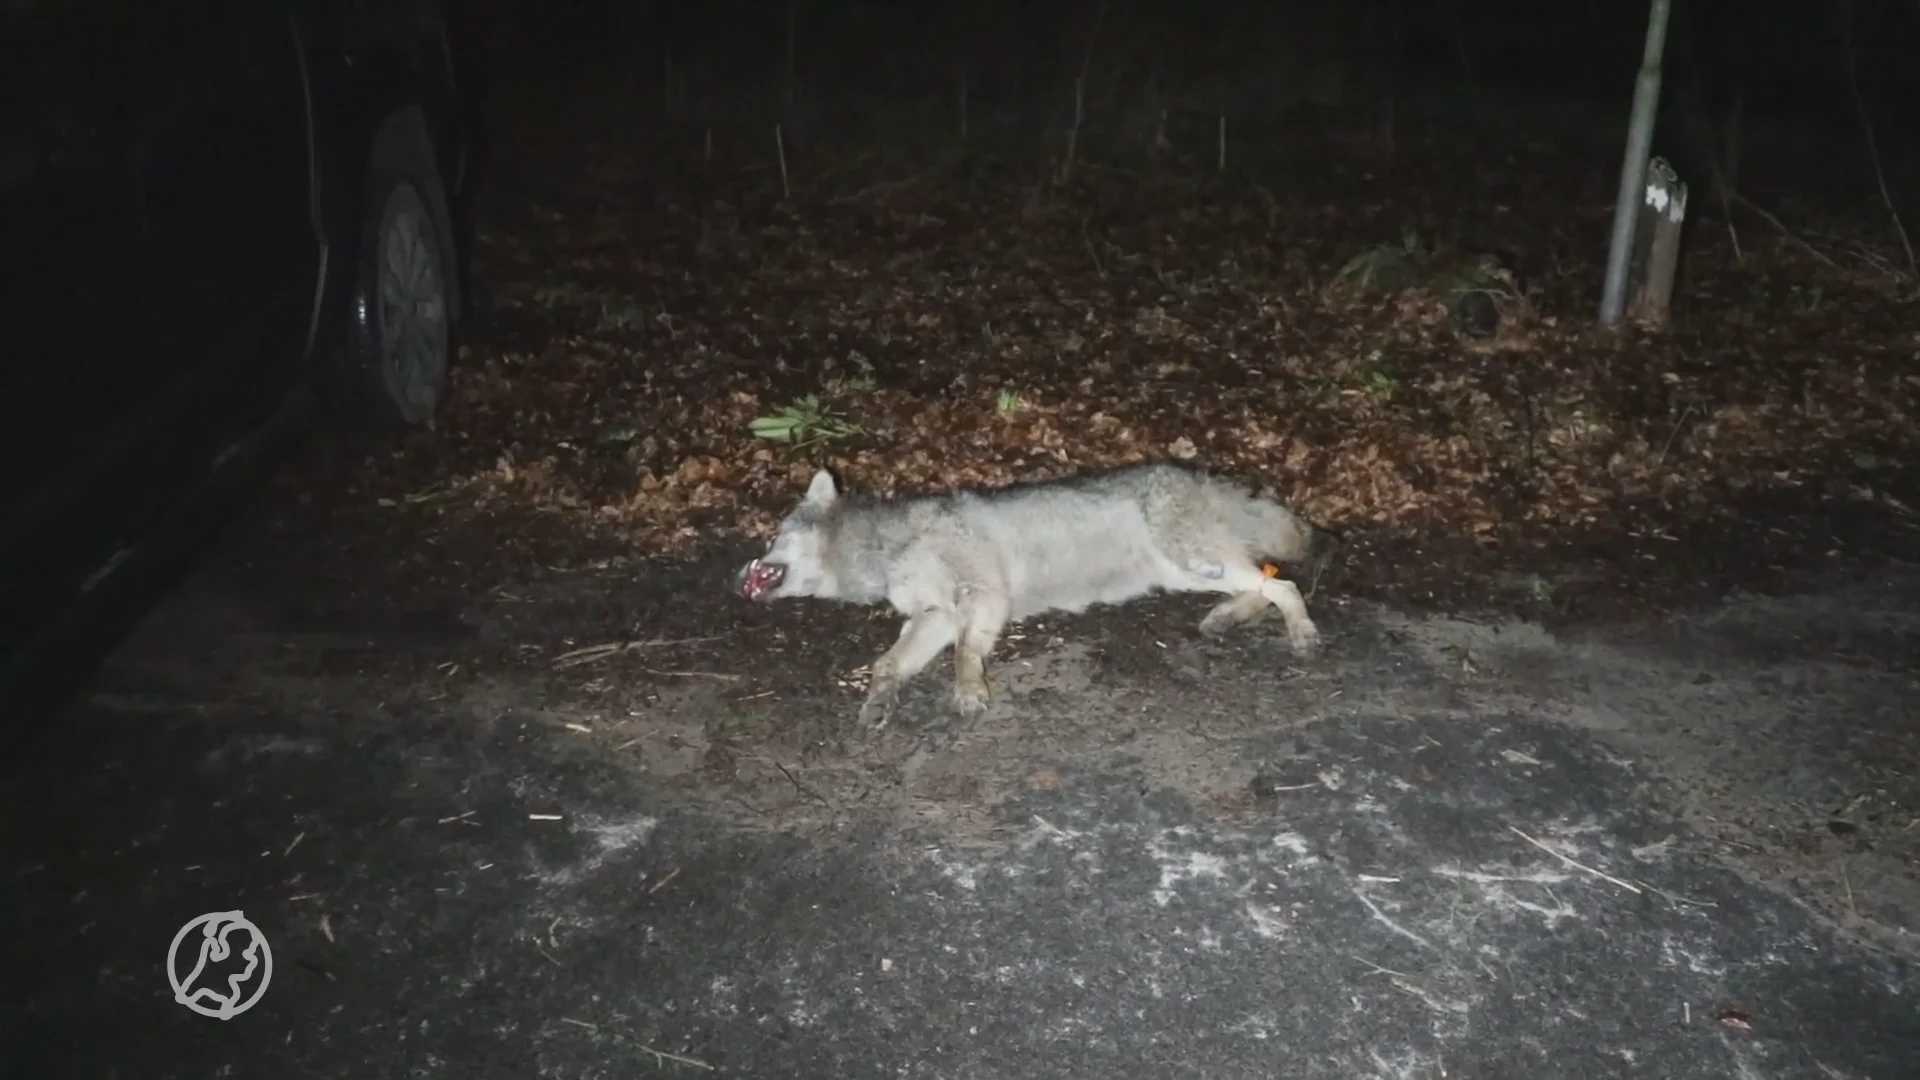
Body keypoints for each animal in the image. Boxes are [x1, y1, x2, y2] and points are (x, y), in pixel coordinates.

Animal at [733, 462, 1339, 726]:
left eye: (773, 536)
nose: (743, 569)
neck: (882, 550)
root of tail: (1202, 475)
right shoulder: (935, 613)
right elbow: (888, 664)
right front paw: (880, 700)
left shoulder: (981, 597)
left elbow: (964, 653)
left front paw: (968, 690)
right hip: (1187, 570)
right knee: (1263, 581)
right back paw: (1228, 617)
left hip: (1194, 560)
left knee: (1282, 583)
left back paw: (1300, 632)